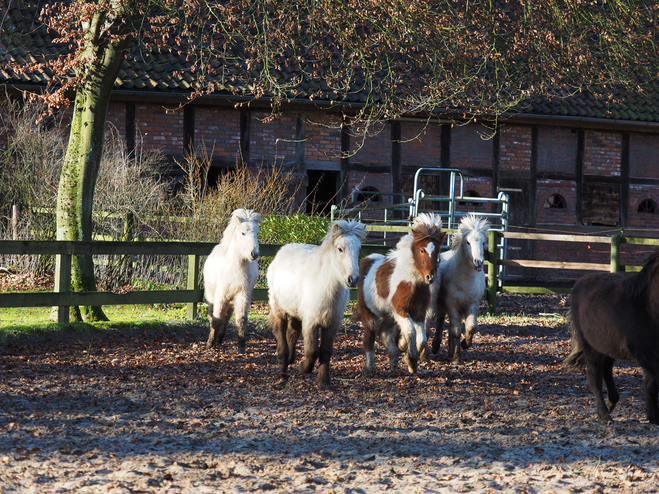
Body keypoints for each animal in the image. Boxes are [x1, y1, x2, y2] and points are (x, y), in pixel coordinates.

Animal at [204, 207, 262, 352]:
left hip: (230, 299)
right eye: (243, 233)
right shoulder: (220, 295)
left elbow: (241, 319)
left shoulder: (243, 294)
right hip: (212, 294)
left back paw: (220, 340)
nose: (254, 254)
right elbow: (216, 318)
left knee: (226, 317)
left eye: (257, 233)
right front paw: (210, 343)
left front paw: (241, 346)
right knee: (212, 315)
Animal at [270, 220, 372, 390]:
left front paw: (323, 382)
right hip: (279, 308)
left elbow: (325, 352)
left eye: (358, 249)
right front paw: (303, 368)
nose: (353, 279)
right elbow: (312, 351)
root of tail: (281, 252)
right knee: (280, 330)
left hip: (295, 312)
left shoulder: (331, 324)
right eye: (340, 249)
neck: (327, 287)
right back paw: (283, 364)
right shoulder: (311, 322)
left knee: (292, 332)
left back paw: (291, 358)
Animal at [354, 213, 446, 374]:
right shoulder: (401, 311)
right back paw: (370, 367)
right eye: (422, 250)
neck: (412, 282)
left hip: (388, 314)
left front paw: (406, 351)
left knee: (383, 331)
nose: (430, 277)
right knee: (370, 337)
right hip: (369, 313)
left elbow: (421, 338)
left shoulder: (419, 313)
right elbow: (410, 331)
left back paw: (393, 360)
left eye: (437, 251)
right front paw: (411, 361)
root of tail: (366, 259)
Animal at [428, 213, 490, 362]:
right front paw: (456, 357)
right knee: (441, 321)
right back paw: (436, 346)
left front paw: (464, 345)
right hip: (442, 305)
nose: (479, 262)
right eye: (468, 242)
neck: (465, 280)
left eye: (483, 242)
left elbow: (471, 328)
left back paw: (450, 351)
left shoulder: (472, 304)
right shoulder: (452, 304)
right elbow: (456, 331)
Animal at [564, 251, 659, 424]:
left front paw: (653, 417)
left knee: (606, 369)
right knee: (595, 377)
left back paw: (611, 402)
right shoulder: (644, 352)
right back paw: (604, 415)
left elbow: (651, 384)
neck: (647, 307)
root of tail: (579, 282)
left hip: (608, 346)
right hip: (589, 346)